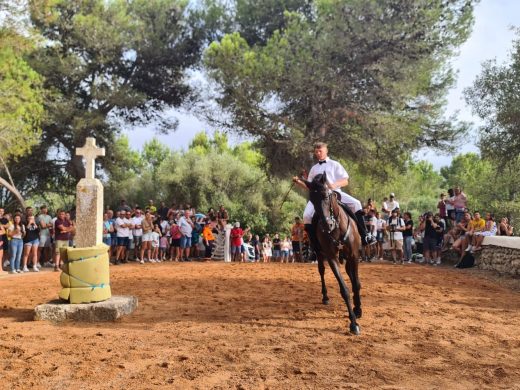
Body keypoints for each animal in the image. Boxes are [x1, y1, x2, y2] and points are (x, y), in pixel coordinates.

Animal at [300, 174, 362, 336]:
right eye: (312, 199)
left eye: (326, 196)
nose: (326, 225)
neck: (337, 229)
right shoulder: (331, 258)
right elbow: (344, 290)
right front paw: (353, 323)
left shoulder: (354, 256)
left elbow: (356, 284)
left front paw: (358, 309)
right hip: (320, 254)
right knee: (321, 271)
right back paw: (325, 296)